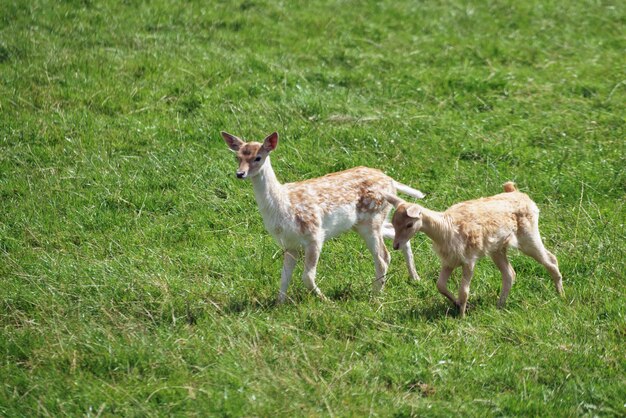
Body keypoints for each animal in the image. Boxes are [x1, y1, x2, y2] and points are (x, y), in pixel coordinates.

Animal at [221, 130, 424, 300]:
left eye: (258, 157)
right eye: (237, 157)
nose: (240, 173)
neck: (283, 206)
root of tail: (391, 180)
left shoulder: (314, 234)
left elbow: (307, 276)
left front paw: (325, 300)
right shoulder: (289, 243)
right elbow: (284, 276)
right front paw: (279, 303)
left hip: (371, 219)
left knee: (383, 257)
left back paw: (375, 295)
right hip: (365, 222)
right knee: (396, 237)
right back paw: (414, 278)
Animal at [382, 182, 564, 316]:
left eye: (409, 224)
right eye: (393, 222)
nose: (396, 246)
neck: (445, 228)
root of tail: (518, 192)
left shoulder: (469, 259)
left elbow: (464, 290)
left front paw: (461, 316)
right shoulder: (449, 260)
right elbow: (440, 285)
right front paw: (458, 305)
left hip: (528, 236)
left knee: (551, 259)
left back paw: (560, 294)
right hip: (497, 248)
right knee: (510, 274)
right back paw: (499, 305)